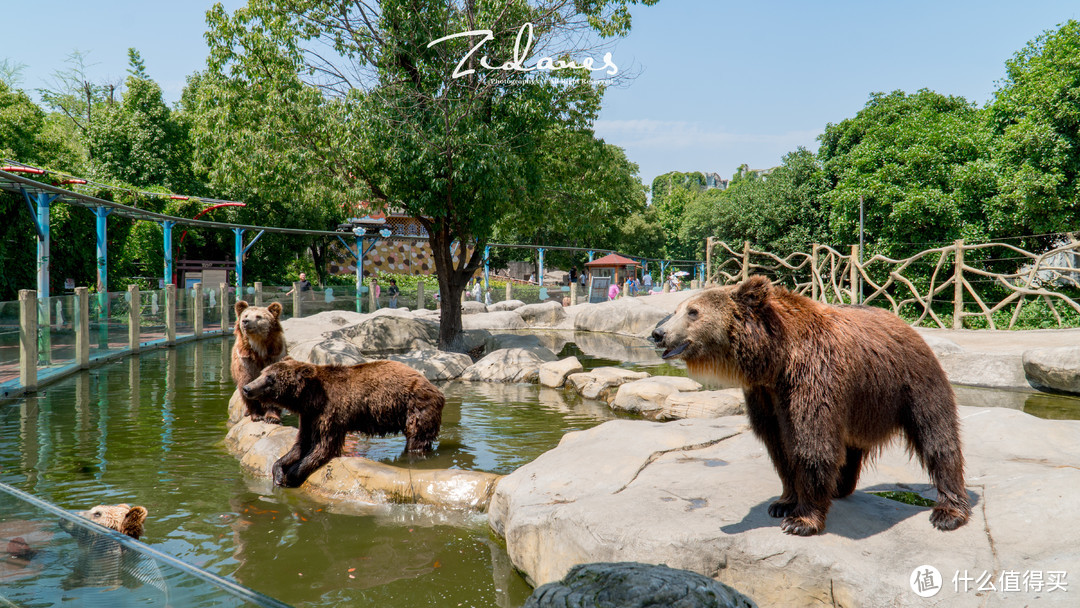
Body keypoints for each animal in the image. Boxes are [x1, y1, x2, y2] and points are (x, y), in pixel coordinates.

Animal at [243, 358, 444, 488]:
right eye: (263, 373)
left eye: (270, 378)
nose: (247, 388)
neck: (310, 398)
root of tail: (435, 387)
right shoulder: (309, 416)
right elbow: (302, 444)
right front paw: (279, 470)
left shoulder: (331, 412)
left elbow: (324, 446)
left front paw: (292, 474)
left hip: (415, 407)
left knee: (417, 438)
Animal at [652, 276, 976, 537]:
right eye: (677, 309)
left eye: (693, 312)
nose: (658, 334)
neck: (775, 359)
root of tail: (906, 326)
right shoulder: (765, 395)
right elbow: (778, 445)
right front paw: (783, 503)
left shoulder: (812, 376)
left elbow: (812, 442)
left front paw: (801, 520)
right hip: (862, 400)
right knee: (851, 445)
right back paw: (840, 485)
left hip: (912, 382)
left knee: (937, 436)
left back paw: (949, 511)